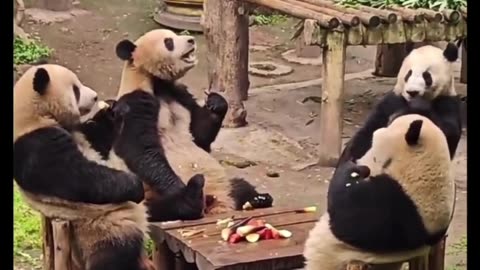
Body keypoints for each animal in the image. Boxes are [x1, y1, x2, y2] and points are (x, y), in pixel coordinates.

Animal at [12, 63, 158, 270]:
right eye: (76, 89)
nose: (96, 96)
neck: (34, 115)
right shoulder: (36, 144)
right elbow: (76, 176)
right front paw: (136, 186)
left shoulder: (85, 136)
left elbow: (100, 140)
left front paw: (112, 110)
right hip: (102, 227)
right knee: (116, 254)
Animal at [336, 42, 464, 167]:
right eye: (409, 74)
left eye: (426, 76)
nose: (412, 92)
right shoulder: (392, 101)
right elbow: (369, 130)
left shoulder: (447, 102)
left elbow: (447, 133)